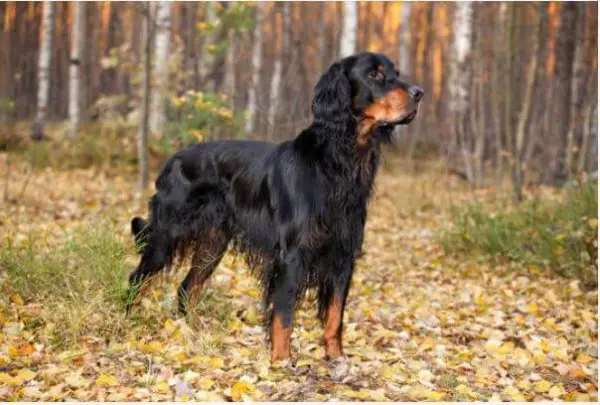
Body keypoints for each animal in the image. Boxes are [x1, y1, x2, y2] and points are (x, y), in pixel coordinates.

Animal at [129, 51, 424, 360]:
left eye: (396, 72)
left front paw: (336, 357)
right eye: (374, 74)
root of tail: (172, 160)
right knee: (137, 279)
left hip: (213, 243)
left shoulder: (343, 253)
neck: (337, 162)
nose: (420, 93)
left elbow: (335, 315)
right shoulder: (291, 254)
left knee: (187, 288)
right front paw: (280, 361)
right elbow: (283, 315)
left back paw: (194, 333)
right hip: (166, 235)